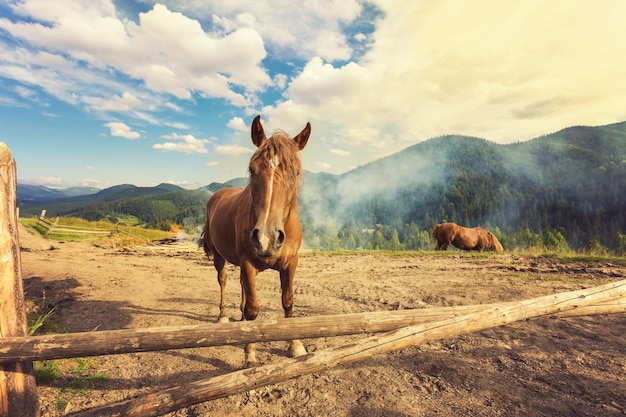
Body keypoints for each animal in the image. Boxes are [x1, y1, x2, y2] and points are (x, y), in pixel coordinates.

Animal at [199, 115, 308, 366]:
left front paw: (295, 345)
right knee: (223, 280)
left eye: (296, 172)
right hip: (219, 257)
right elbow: (253, 309)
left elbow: (288, 302)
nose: (267, 238)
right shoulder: (248, 264)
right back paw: (224, 316)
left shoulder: (291, 264)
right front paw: (249, 354)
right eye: (252, 169)